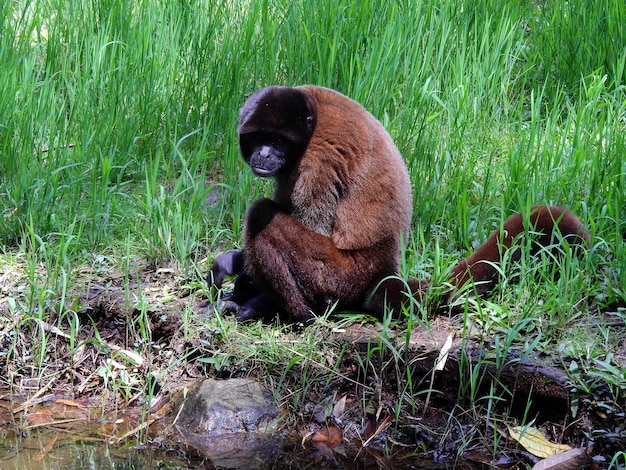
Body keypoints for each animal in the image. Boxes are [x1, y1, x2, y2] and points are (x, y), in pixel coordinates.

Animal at [208, 86, 584, 324]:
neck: (311, 117)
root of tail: (384, 272)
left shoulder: (317, 159)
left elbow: (310, 222)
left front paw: (253, 287)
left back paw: (293, 313)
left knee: (262, 214)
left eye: (276, 141)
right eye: (257, 139)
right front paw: (237, 264)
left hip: (338, 276)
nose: (264, 155)